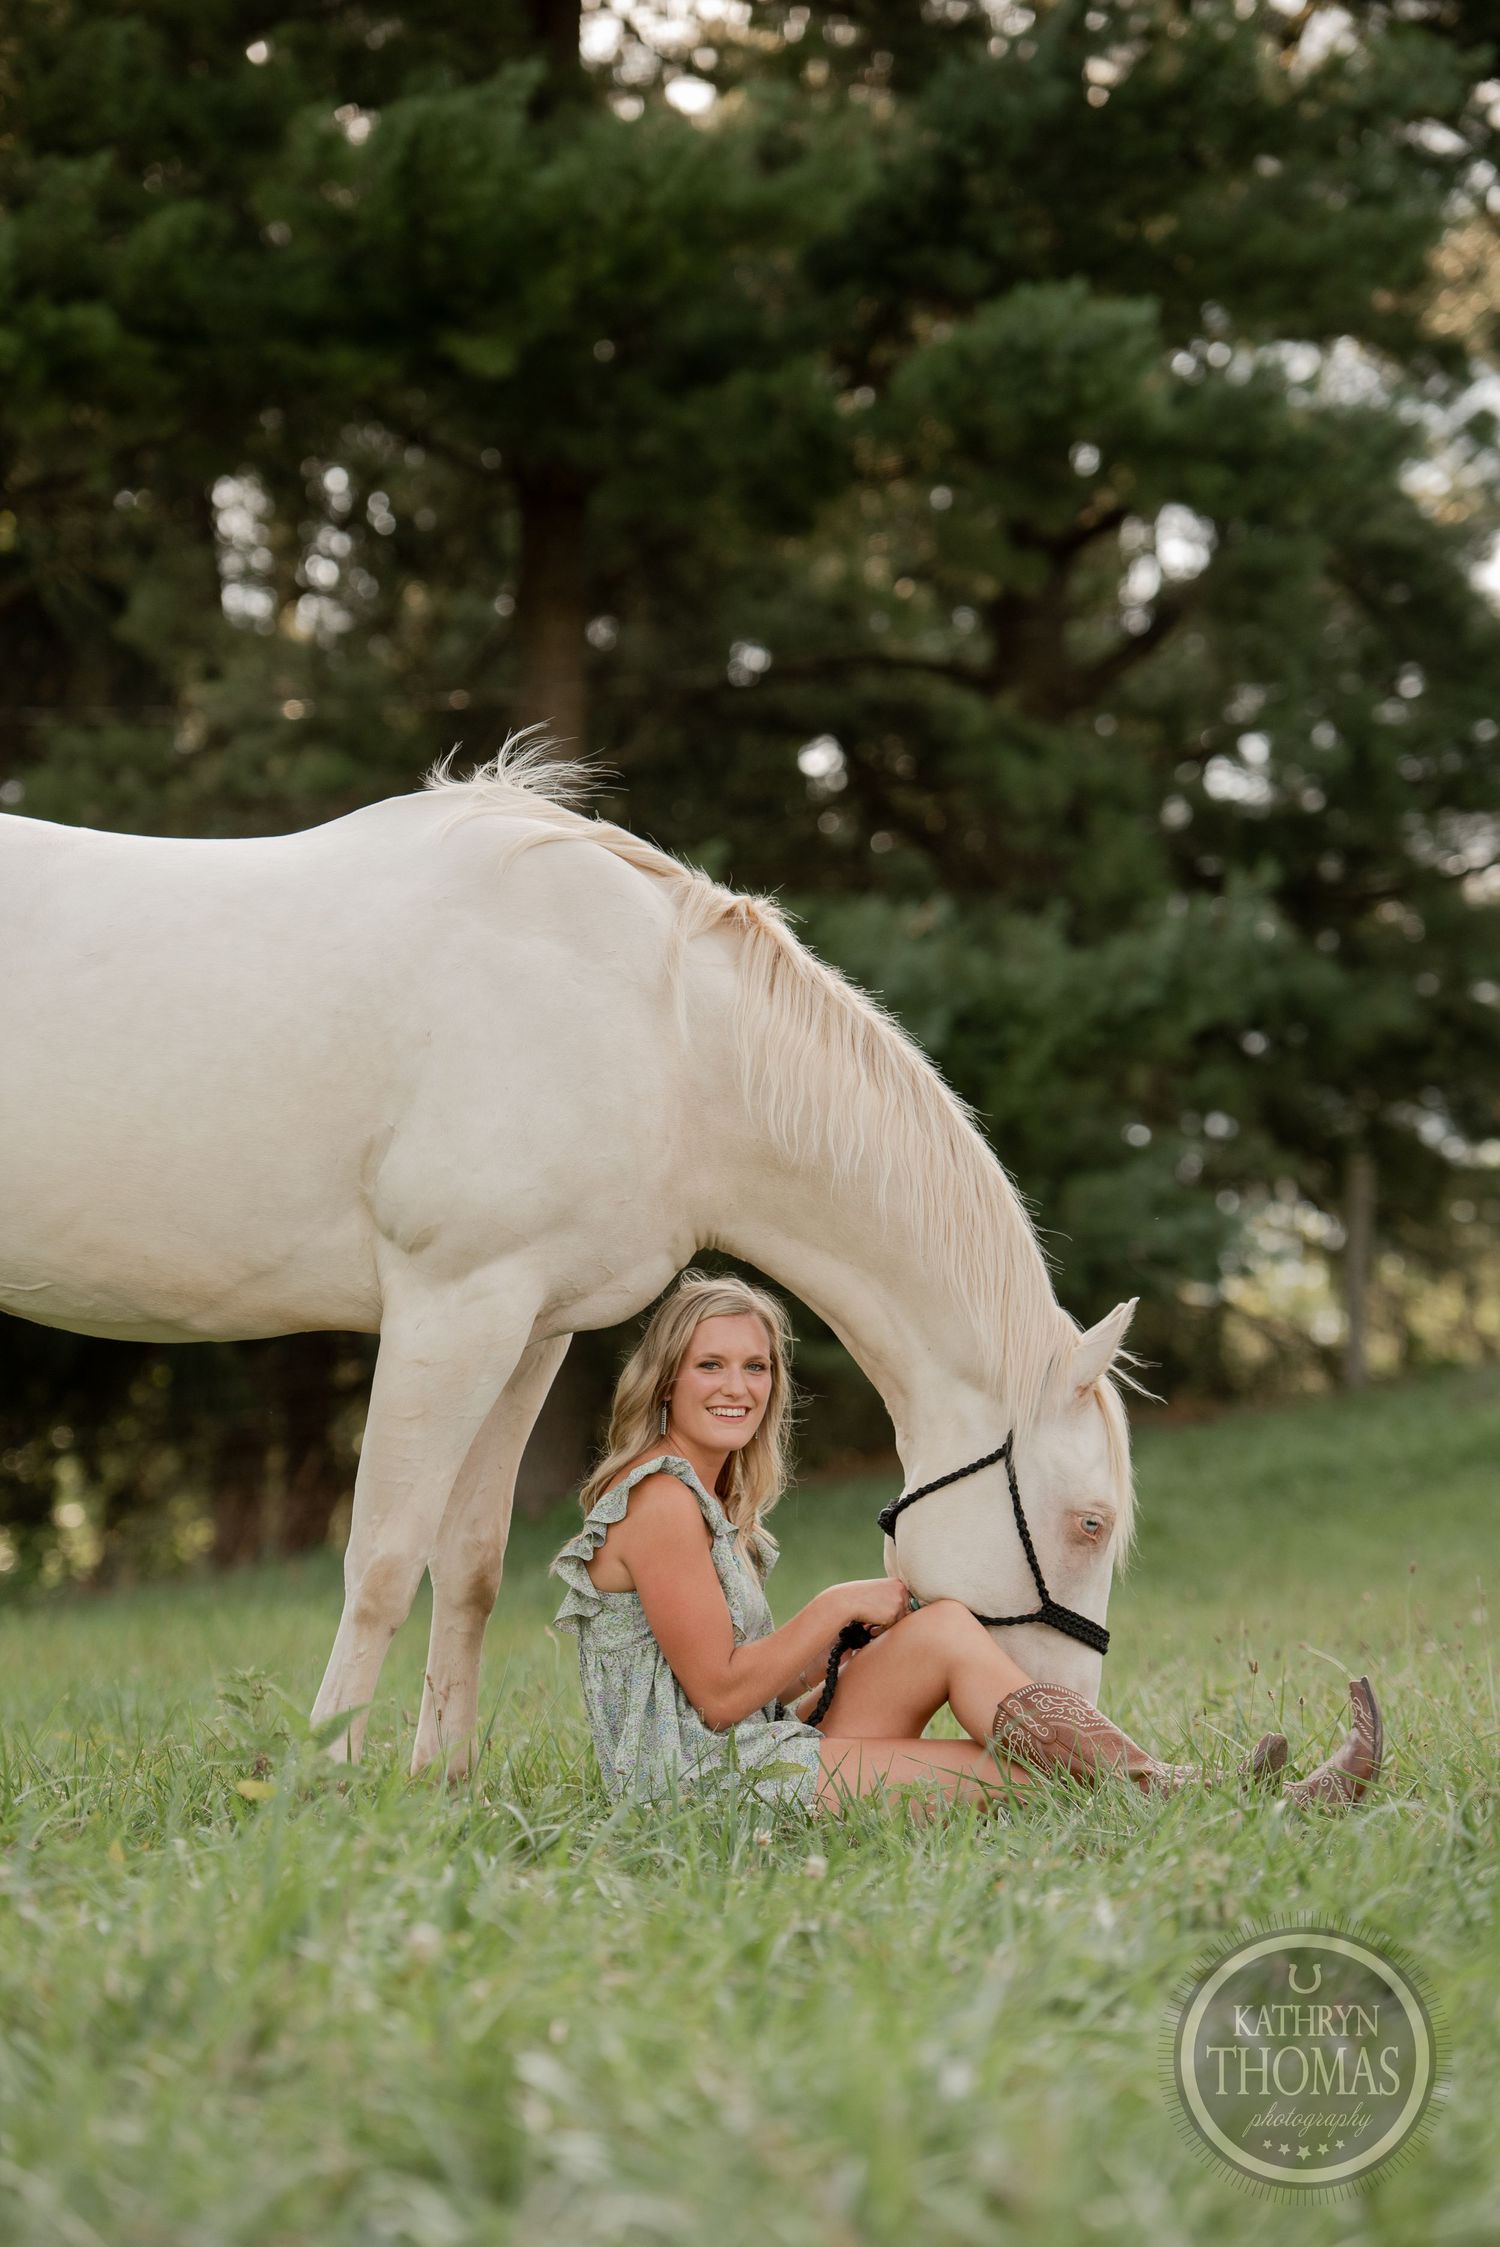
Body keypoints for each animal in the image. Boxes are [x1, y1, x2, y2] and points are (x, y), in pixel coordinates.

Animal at [0, 736, 1140, 1776]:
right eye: (1088, 1524)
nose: (1066, 1707)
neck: (662, 1038)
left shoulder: (526, 1327)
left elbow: (468, 1562)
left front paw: (441, 1784)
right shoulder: (449, 1308)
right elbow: (382, 1558)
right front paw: (324, 1783)